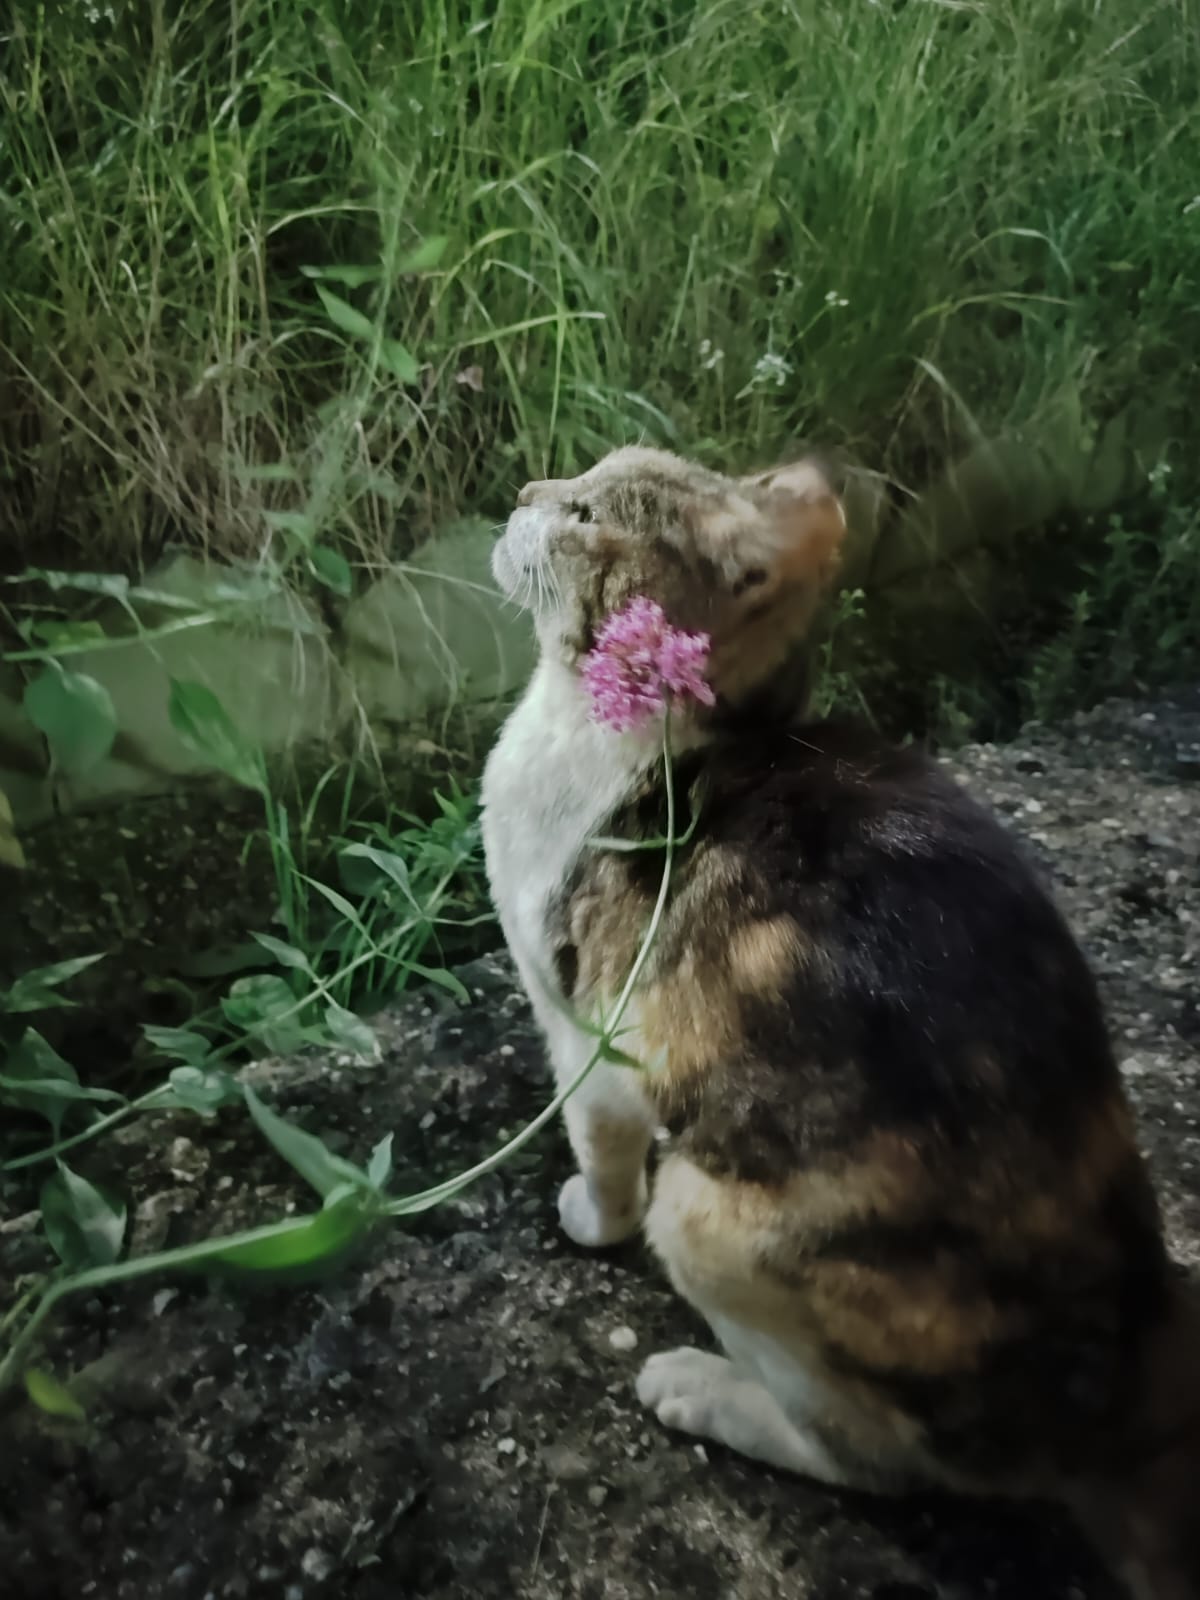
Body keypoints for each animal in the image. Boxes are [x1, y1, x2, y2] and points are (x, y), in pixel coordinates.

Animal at [480, 444, 1200, 1593]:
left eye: (586, 510)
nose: (521, 494)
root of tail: (1122, 1391)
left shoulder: (587, 1032)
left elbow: (599, 1146)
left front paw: (590, 1216)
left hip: (710, 1219)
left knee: (879, 1462)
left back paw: (702, 1388)